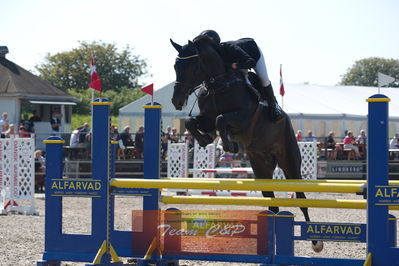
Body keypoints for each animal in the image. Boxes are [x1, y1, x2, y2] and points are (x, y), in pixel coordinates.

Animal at [170, 35, 324, 251]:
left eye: (192, 65)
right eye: (176, 65)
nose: (176, 101)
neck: (218, 84)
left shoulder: (242, 118)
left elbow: (221, 120)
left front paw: (229, 145)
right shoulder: (206, 118)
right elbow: (192, 122)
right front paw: (206, 139)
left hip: (290, 162)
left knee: (301, 198)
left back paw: (316, 242)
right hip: (260, 166)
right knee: (272, 204)